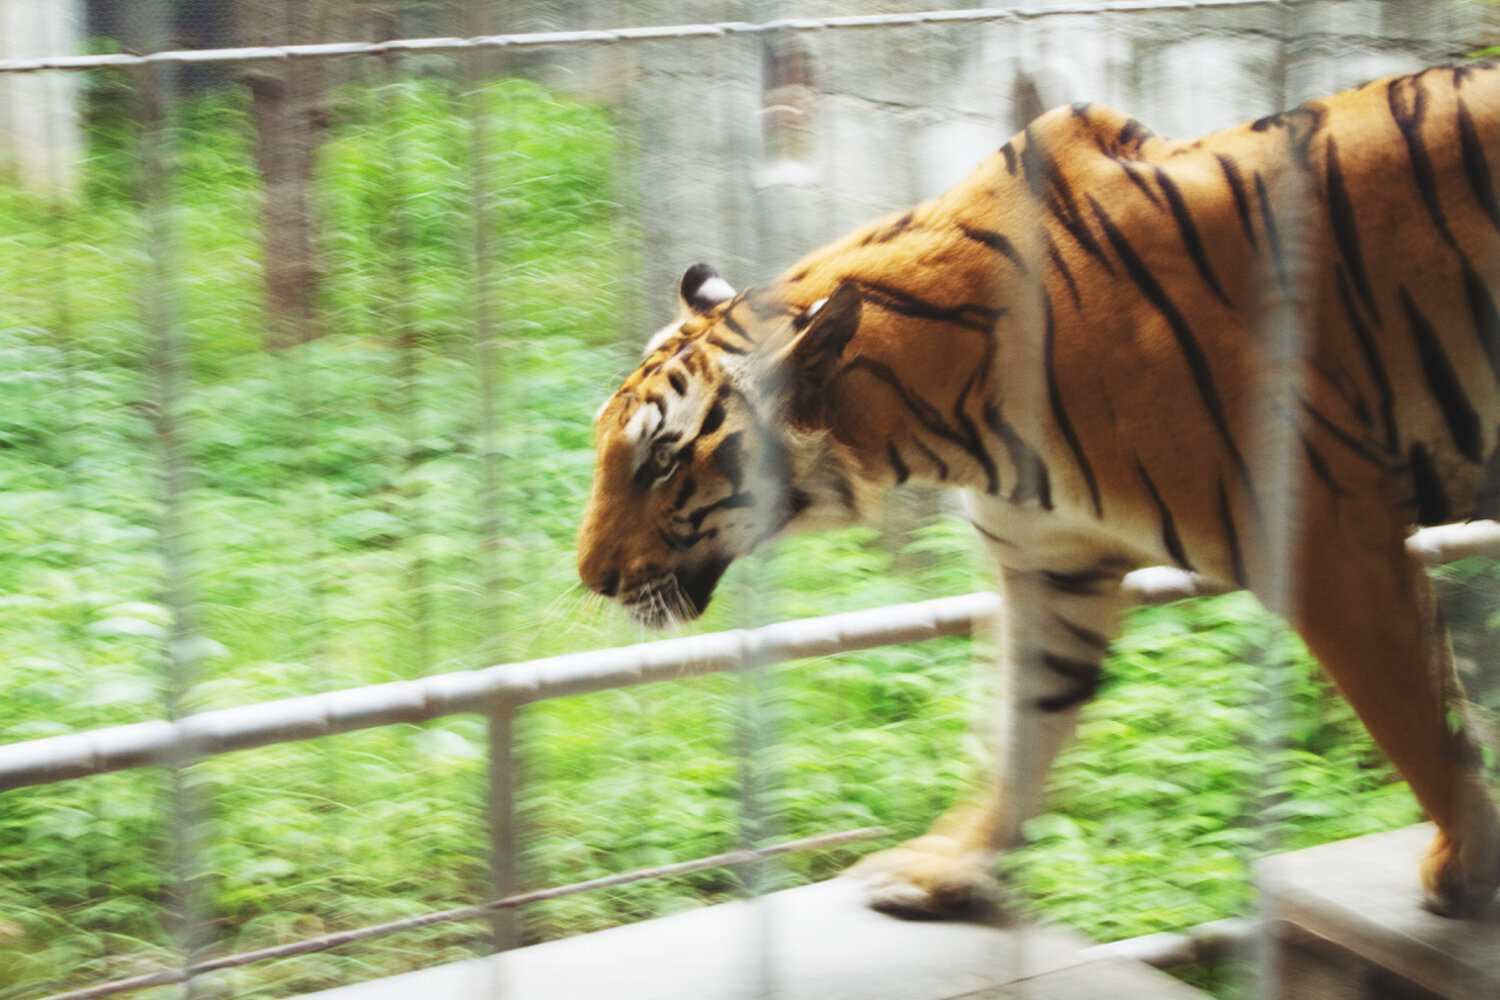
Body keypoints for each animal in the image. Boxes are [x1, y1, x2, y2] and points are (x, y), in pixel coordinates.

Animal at [576, 62, 1500, 917]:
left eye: (661, 462)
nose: (591, 578)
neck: (936, 425)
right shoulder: (1049, 567)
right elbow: (1018, 729)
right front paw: (945, 867)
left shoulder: (1330, 536)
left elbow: (1421, 719)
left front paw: (1466, 863)